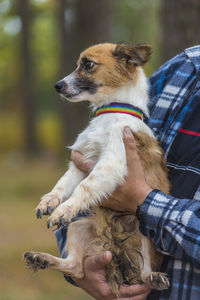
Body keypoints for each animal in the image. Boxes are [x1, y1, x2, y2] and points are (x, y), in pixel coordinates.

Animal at [24, 42, 170, 298]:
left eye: (88, 64)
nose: (57, 85)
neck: (110, 114)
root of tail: (113, 243)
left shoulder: (110, 163)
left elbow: (83, 188)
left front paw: (64, 209)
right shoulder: (80, 163)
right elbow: (62, 185)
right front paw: (50, 201)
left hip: (144, 233)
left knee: (143, 275)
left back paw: (155, 277)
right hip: (79, 226)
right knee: (76, 267)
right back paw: (41, 259)